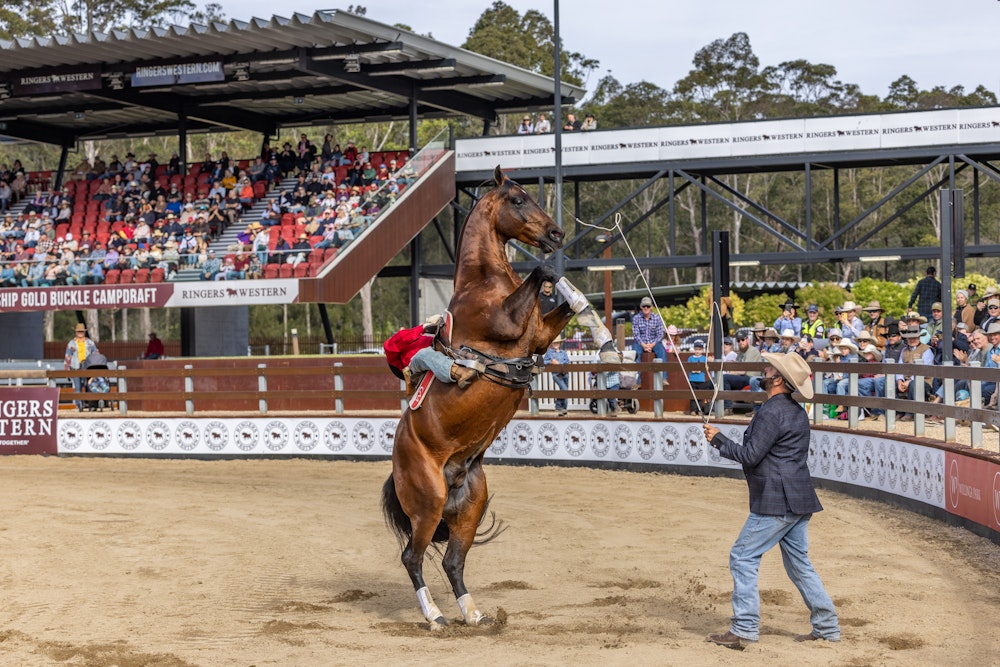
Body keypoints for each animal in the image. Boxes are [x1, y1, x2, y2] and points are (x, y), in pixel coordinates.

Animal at [380, 166, 572, 628]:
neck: (483, 280)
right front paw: (551, 271)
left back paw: (473, 614)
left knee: (453, 561)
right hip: (428, 504)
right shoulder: (506, 321)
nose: (556, 233)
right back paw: (435, 616)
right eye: (518, 199)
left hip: (470, 505)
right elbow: (538, 273)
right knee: (412, 557)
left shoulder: (540, 335)